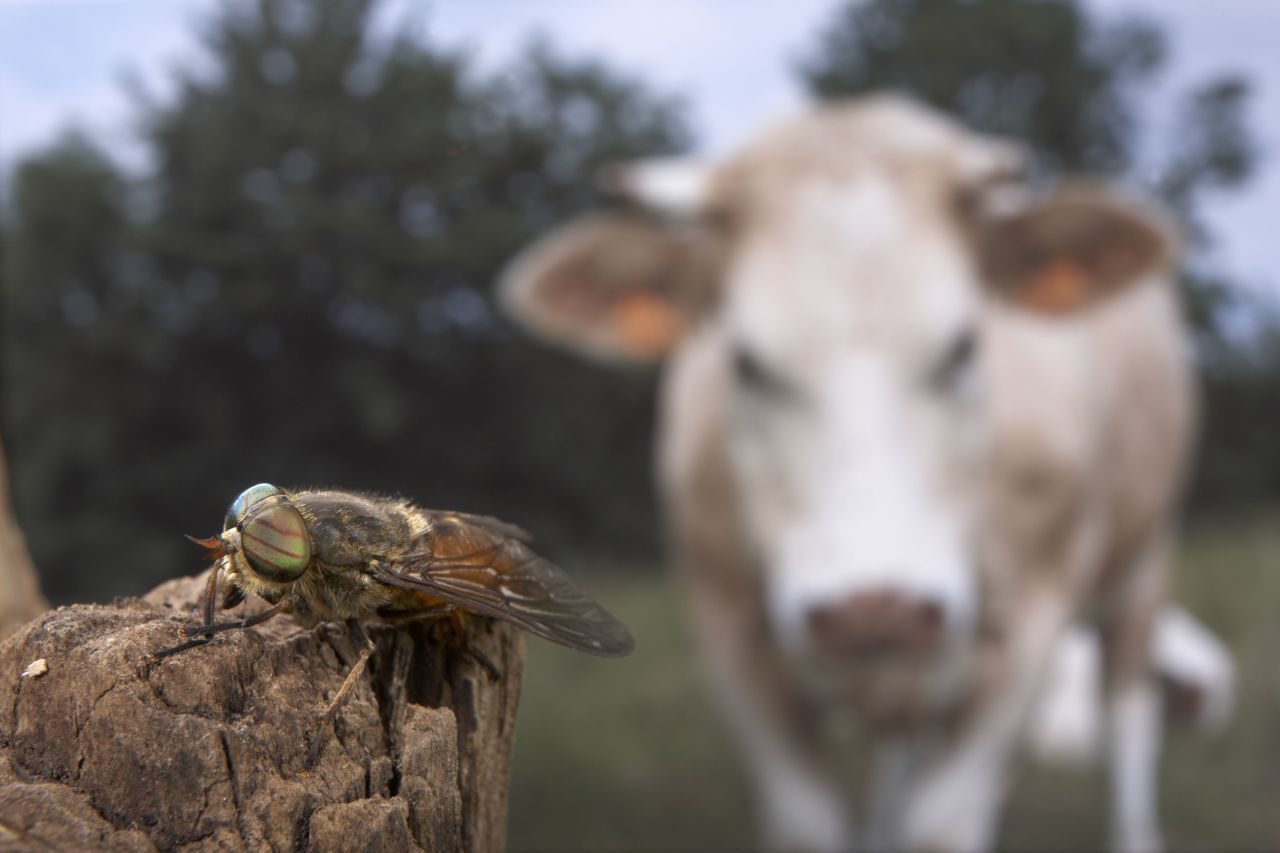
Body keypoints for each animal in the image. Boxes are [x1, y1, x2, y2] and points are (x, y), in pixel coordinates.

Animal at [496, 96, 1228, 845]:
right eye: (746, 362)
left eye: (965, 345)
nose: (875, 612)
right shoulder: (731, 634)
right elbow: (811, 823)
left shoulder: (1030, 625)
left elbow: (942, 822)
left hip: (1144, 555)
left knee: (1131, 710)